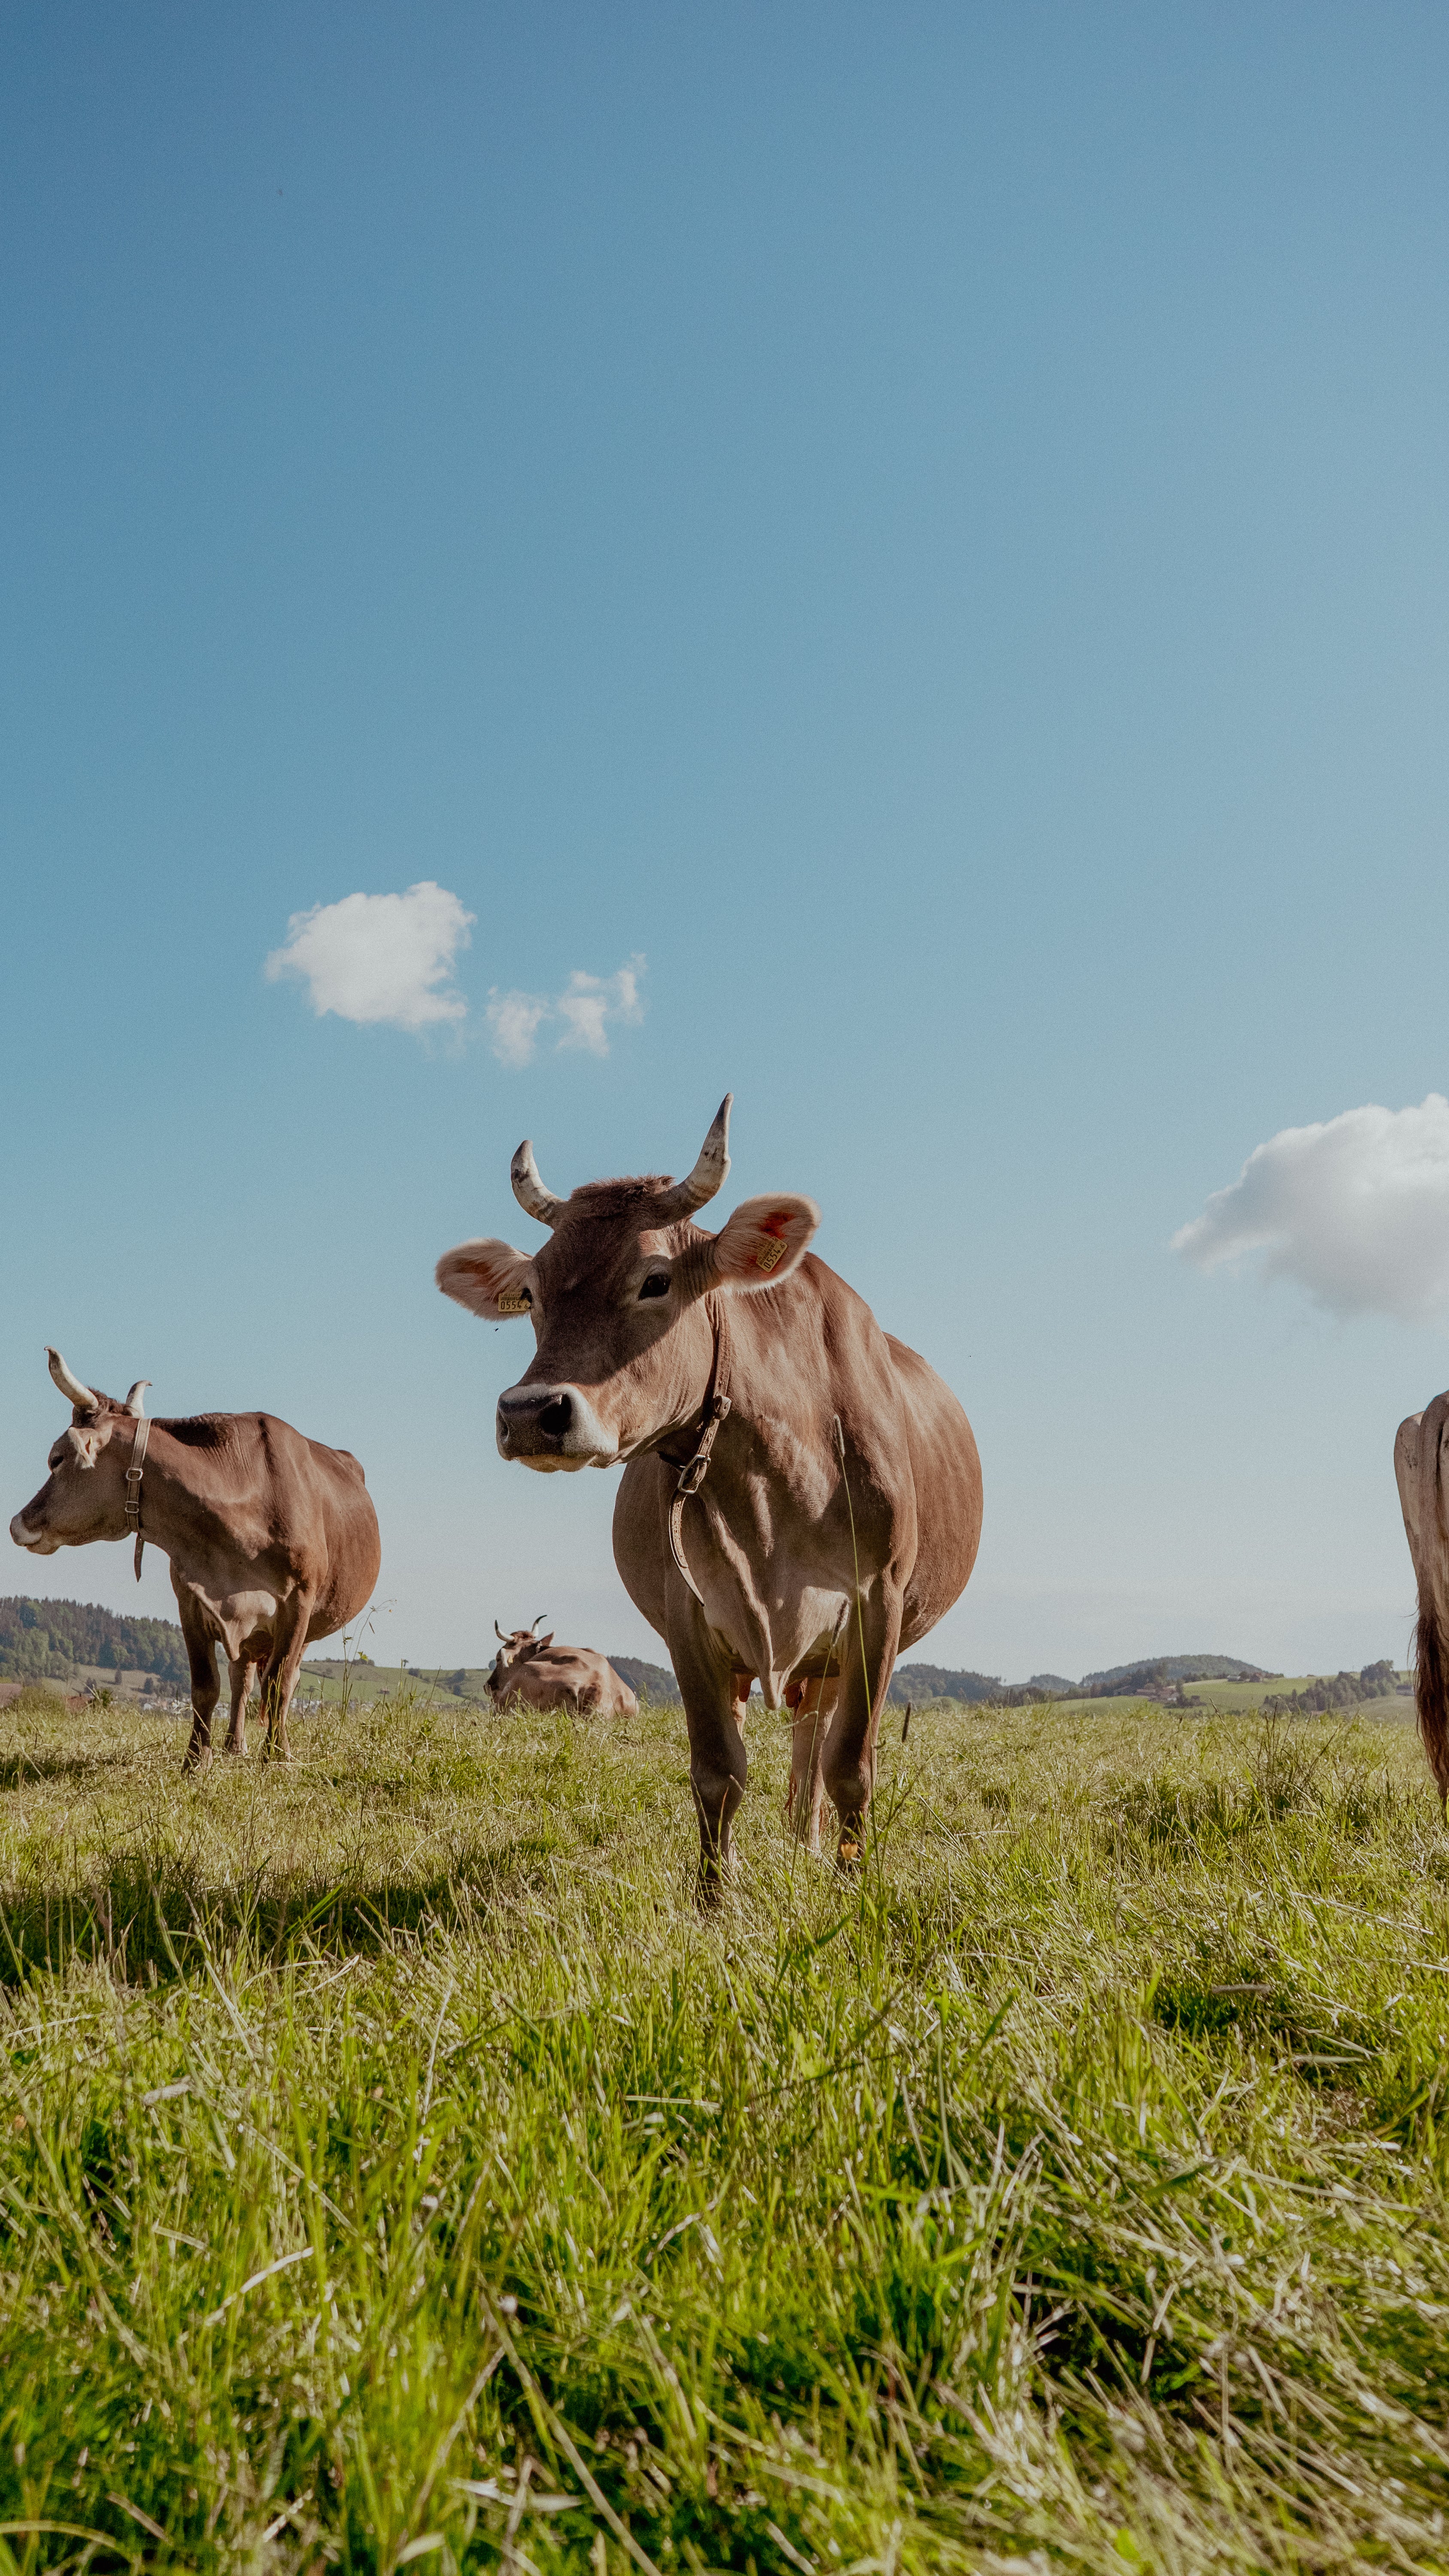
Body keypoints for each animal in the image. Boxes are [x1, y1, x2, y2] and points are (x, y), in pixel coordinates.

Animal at [10, 1348, 381, 1772]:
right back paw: (234, 1744)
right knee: (241, 1678)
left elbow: (280, 1684)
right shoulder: (190, 1599)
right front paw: (195, 1761)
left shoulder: (299, 1601)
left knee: (279, 1679)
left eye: (56, 1460)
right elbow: (206, 1685)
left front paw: (279, 1755)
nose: (17, 1523)